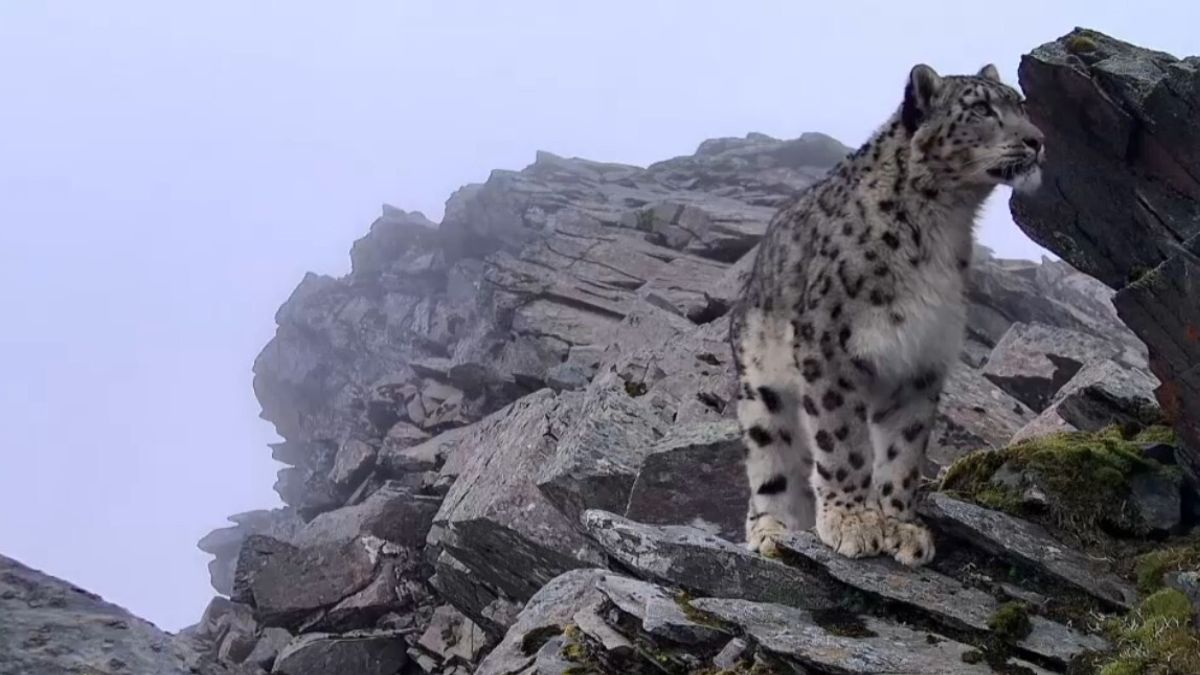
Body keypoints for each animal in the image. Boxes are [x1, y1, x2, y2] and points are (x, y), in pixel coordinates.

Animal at [728, 63, 1045, 566]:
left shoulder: (922, 359)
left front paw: (901, 527)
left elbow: (903, 453)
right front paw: (852, 522)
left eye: (1021, 104)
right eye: (980, 109)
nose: (1037, 140)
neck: (942, 228)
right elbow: (843, 443)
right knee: (771, 466)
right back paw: (772, 531)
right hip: (763, 393)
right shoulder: (830, 348)